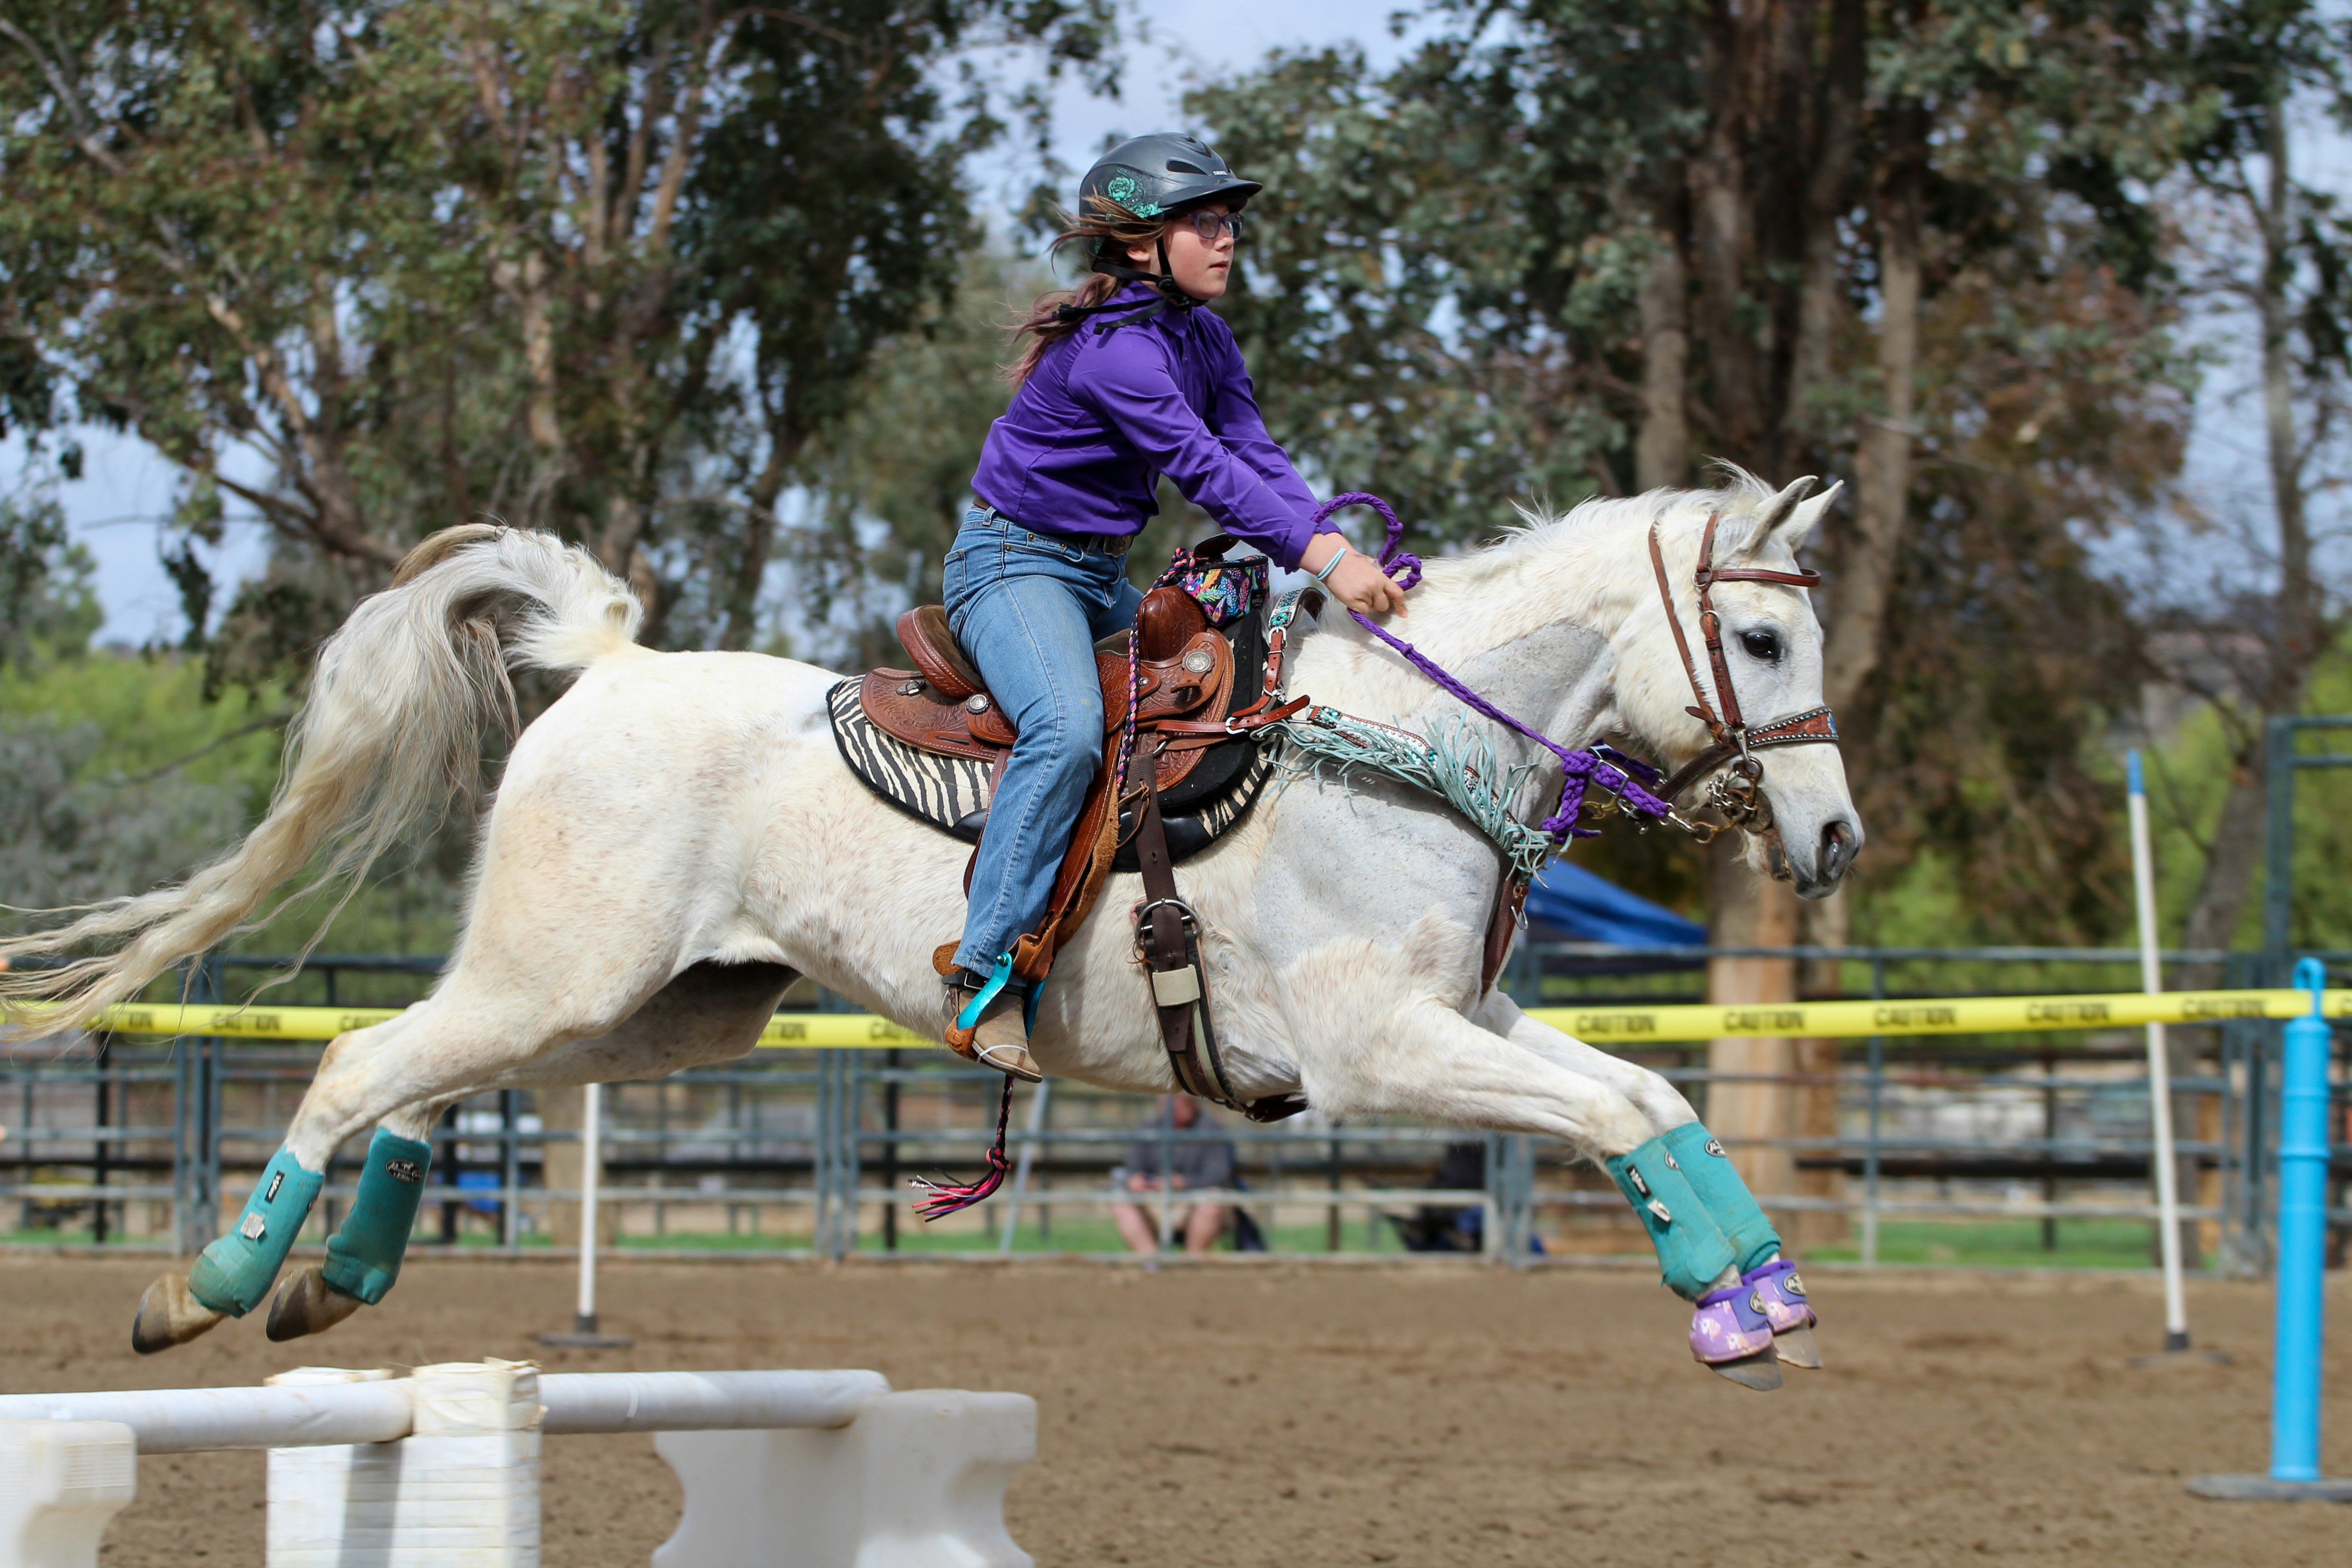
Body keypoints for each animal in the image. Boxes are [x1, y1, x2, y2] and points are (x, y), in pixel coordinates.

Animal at [1, 469, 1861, 1366]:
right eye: (1763, 640)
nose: (1834, 838)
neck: (1398, 749)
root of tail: (606, 669)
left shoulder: (1468, 1024)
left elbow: (1653, 1097)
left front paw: (1761, 1295)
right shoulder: (1380, 1056)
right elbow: (1615, 1113)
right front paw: (1732, 1310)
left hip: (654, 1009)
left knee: (430, 1089)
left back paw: (336, 1286)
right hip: (563, 977)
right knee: (359, 1065)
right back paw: (208, 1287)